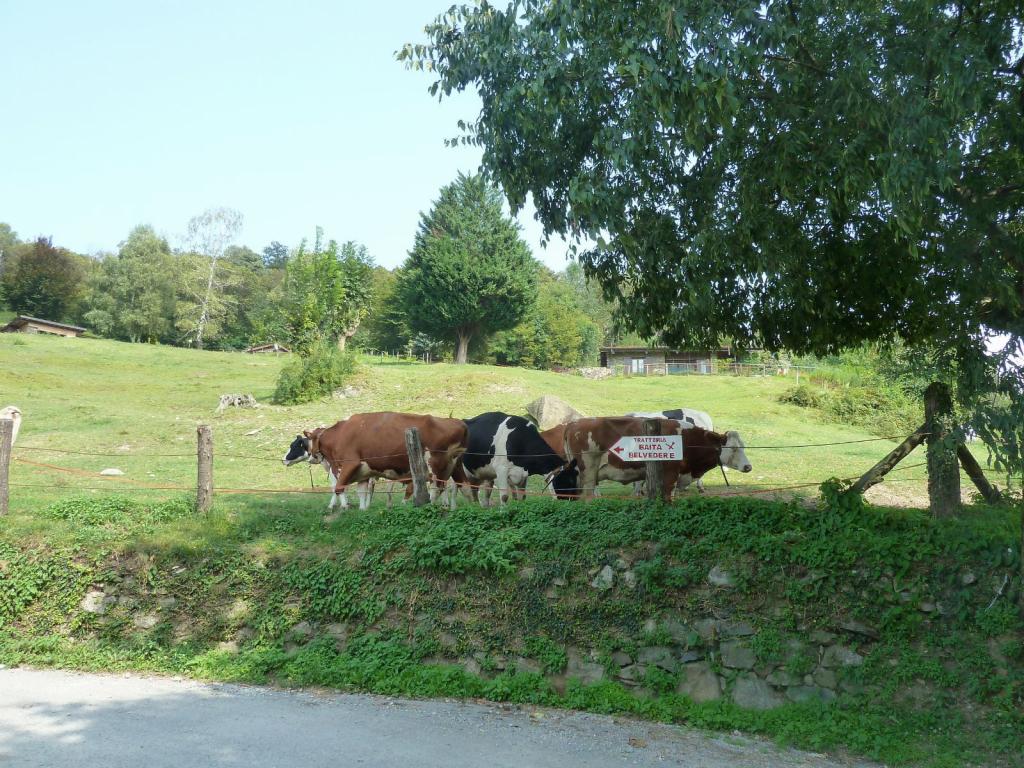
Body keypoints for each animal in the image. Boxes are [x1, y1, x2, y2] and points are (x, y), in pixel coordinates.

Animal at [282, 411, 468, 514]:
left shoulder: (348, 464)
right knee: (462, 485)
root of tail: (457, 422)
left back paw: (430, 505)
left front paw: (344, 507)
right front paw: (363, 510)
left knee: (437, 489)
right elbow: (362, 492)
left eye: (295, 445)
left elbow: (339, 488)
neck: (338, 435)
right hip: (455, 465)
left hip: (435, 465)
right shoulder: (364, 472)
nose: (284, 459)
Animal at [552, 417, 753, 501]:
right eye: (734, 448)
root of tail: (574, 423)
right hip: (588, 472)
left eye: (743, 446)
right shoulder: (670, 475)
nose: (748, 467)